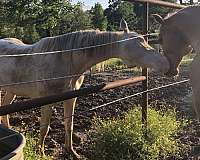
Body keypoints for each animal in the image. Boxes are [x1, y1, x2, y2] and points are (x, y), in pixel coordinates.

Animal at [0, 19, 169, 158]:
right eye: (139, 42)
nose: (166, 63)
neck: (64, 61)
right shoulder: (47, 101)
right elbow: (44, 128)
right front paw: (40, 153)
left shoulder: (71, 98)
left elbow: (69, 125)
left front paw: (72, 152)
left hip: (11, 90)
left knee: (5, 106)